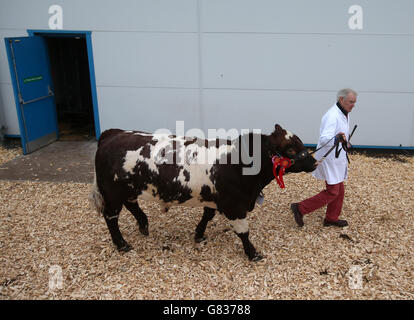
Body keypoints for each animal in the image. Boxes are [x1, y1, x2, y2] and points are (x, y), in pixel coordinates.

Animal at [90, 124, 316, 262]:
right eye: (291, 149)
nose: (314, 162)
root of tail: (114, 134)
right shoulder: (235, 206)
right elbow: (243, 232)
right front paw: (253, 253)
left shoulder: (214, 199)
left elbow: (207, 215)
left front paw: (199, 234)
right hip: (112, 193)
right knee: (111, 217)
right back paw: (121, 244)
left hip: (127, 189)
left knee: (131, 204)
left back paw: (143, 224)